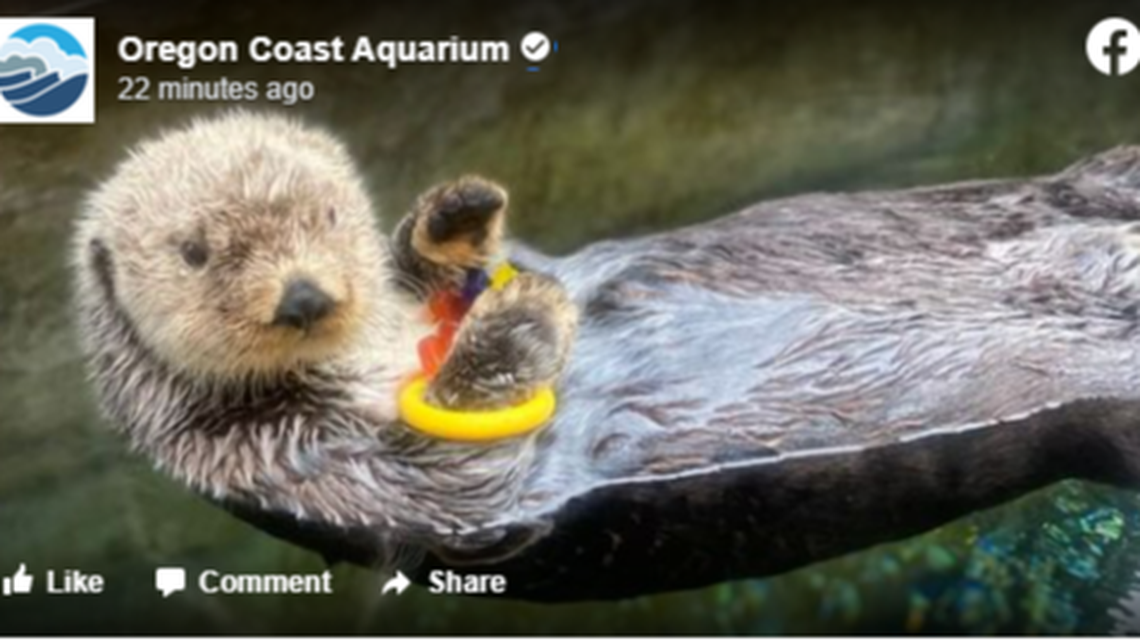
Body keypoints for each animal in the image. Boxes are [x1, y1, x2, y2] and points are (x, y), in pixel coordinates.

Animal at [73, 111, 577, 558]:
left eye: (330, 215)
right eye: (193, 252)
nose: (303, 297)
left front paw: (452, 219)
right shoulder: (270, 457)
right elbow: (452, 487)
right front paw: (519, 321)